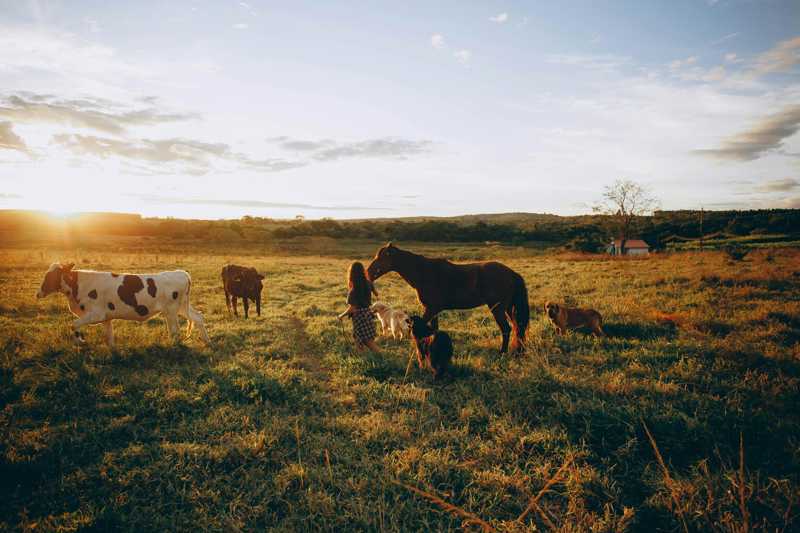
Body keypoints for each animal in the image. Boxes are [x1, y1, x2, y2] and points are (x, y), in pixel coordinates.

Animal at [35, 260, 209, 344]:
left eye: (50, 276)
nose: (38, 293)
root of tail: (182, 273)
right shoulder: (106, 317)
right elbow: (109, 337)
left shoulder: (95, 314)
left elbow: (74, 324)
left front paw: (79, 340)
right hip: (182, 307)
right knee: (198, 317)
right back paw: (207, 341)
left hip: (171, 311)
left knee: (175, 331)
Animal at [366, 242, 528, 352]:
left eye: (381, 258)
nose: (368, 273)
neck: (424, 273)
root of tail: (511, 273)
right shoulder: (434, 311)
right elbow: (433, 329)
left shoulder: (431, 309)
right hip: (508, 308)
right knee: (517, 327)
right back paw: (518, 350)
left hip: (497, 309)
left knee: (506, 329)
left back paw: (503, 352)